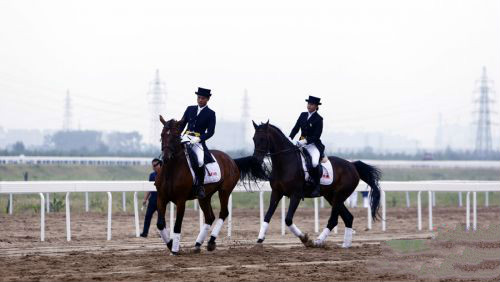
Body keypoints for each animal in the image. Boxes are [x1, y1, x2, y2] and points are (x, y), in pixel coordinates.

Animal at [156, 117, 268, 256]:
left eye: (176, 136)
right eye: (162, 135)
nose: (166, 157)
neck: (171, 170)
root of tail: (232, 160)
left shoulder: (181, 200)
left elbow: (177, 225)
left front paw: (175, 250)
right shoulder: (161, 198)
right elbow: (160, 224)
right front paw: (171, 245)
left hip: (224, 191)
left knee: (223, 213)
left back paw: (211, 242)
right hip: (204, 197)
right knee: (209, 217)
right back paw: (197, 244)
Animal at [252, 120, 380, 247]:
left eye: (263, 139)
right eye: (254, 138)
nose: (256, 160)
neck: (285, 163)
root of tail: (352, 165)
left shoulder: (296, 195)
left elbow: (288, 220)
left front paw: (305, 238)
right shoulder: (276, 193)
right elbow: (267, 216)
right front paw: (260, 238)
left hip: (339, 196)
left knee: (334, 220)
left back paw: (317, 242)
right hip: (331, 197)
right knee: (348, 217)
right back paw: (345, 245)